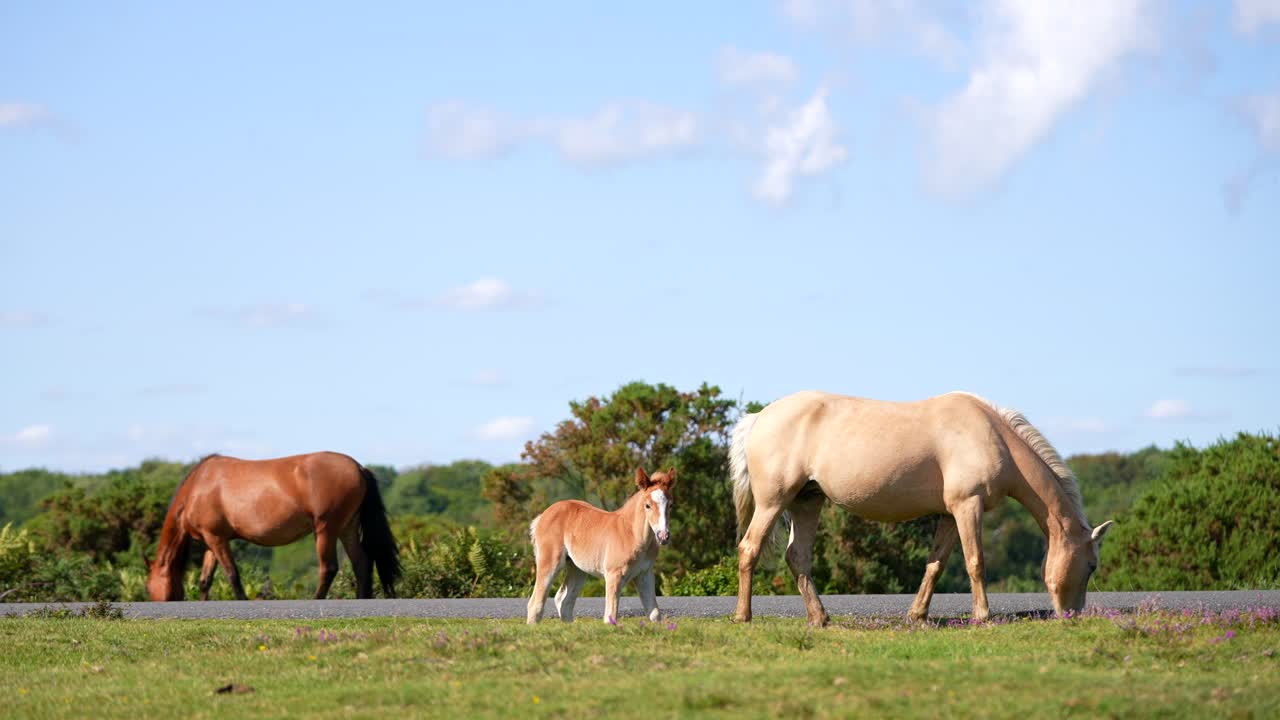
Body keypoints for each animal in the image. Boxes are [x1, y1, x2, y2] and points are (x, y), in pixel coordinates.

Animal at [145, 452, 401, 601]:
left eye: (148, 588)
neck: (198, 485)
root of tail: (359, 468)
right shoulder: (212, 541)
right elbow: (205, 580)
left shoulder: (216, 538)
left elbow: (232, 573)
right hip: (347, 527)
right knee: (362, 562)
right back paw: (362, 597)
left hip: (326, 529)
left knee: (329, 568)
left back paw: (317, 599)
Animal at [526, 467, 676, 624]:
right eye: (647, 505)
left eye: (671, 505)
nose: (663, 536)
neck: (632, 534)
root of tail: (542, 516)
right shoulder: (613, 575)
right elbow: (610, 616)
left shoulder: (645, 574)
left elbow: (654, 614)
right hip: (549, 563)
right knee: (535, 603)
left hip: (577, 569)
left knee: (564, 601)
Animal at [730, 391, 1113, 626]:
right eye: (1091, 565)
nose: (1073, 615)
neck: (993, 436)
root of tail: (758, 418)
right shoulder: (968, 506)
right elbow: (975, 562)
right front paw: (983, 615)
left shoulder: (950, 514)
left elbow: (936, 565)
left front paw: (918, 615)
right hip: (773, 502)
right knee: (749, 549)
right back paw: (742, 616)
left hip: (807, 501)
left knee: (798, 557)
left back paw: (820, 618)